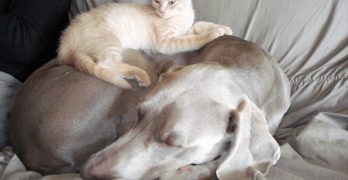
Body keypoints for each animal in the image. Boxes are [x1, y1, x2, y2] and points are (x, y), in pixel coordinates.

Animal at [57, 0, 231, 88]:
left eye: (172, 2)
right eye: (157, 1)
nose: (162, 12)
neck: (180, 15)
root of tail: (66, 38)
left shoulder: (186, 29)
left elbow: (201, 24)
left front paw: (224, 28)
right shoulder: (166, 42)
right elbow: (193, 40)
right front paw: (213, 34)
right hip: (109, 40)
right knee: (106, 63)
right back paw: (140, 74)